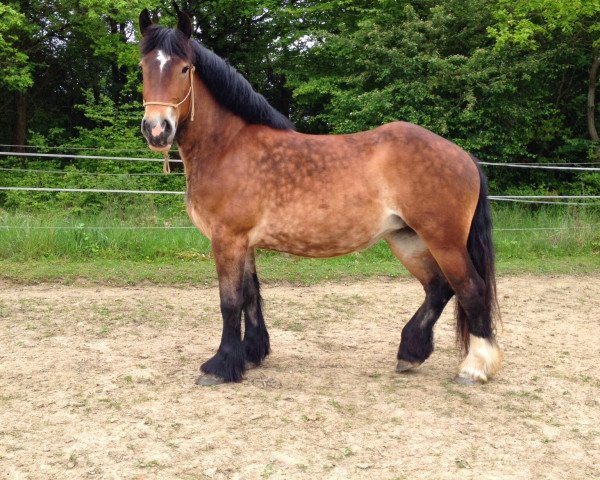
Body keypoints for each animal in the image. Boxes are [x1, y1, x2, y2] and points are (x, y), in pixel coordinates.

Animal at [137, 7, 502, 386]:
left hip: (443, 240)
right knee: (438, 288)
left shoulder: (227, 239)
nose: (157, 129)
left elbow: (230, 302)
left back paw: (474, 367)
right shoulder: (244, 242)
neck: (228, 146)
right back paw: (410, 353)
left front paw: (221, 365)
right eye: (143, 66)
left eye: (184, 68)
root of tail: (464, 157)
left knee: (470, 288)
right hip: (408, 239)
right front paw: (251, 354)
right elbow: (251, 296)